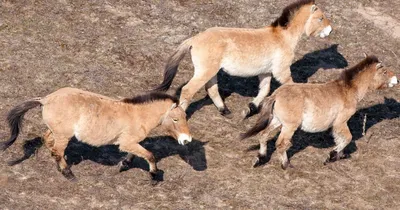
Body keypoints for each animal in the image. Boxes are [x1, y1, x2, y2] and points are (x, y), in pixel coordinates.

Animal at [0, 88, 192, 181]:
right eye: (176, 119)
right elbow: (150, 155)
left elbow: (137, 154)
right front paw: (154, 176)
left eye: (185, 117)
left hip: (57, 132)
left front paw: (124, 164)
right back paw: (68, 174)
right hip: (63, 136)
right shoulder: (127, 142)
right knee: (58, 151)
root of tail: (45, 99)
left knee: (49, 143)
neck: (137, 115)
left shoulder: (130, 143)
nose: (187, 140)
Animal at [153, 0, 332, 118]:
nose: (330, 31)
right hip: (205, 71)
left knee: (211, 89)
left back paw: (225, 111)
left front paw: (250, 108)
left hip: (211, 72)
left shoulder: (266, 72)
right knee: (188, 90)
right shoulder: (281, 71)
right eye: (321, 18)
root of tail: (194, 39)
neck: (282, 37)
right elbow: (290, 86)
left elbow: (265, 89)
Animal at [241, 55, 396, 169]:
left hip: (277, 121)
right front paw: (331, 156)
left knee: (263, 135)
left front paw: (340, 155)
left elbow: (340, 139)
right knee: (281, 144)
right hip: (289, 126)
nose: (396, 80)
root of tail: (276, 95)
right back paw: (286, 165)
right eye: (384, 72)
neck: (348, 90)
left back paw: (260, 159)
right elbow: (347, 138)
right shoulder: (341, 122)